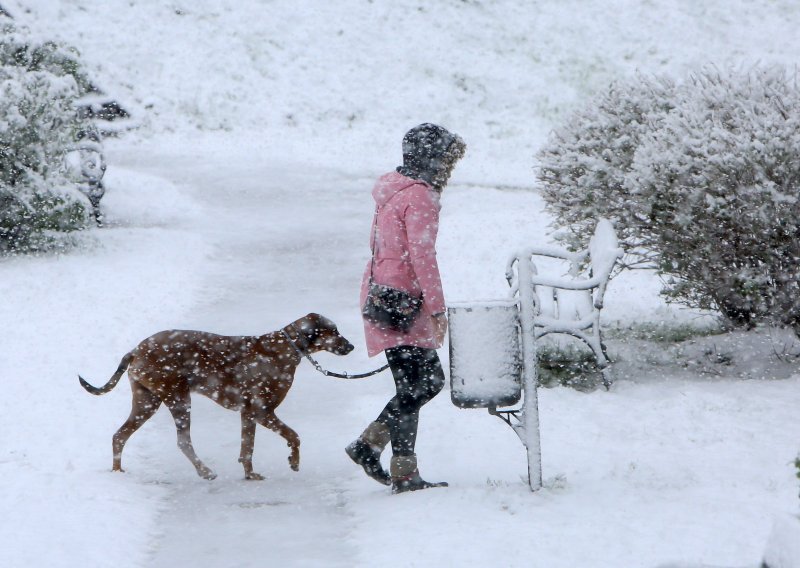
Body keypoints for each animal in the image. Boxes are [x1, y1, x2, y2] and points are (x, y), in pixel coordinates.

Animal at [80, 312, 354, 482]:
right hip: (179, 399)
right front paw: (294, 461)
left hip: (146, 402)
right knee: (183, 441)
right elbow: (294, 436)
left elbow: (247, 449)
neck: (287, 347)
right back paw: (205, 471)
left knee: (119, 436)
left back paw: (117, 472)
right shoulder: (263, 411)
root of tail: (136, 350)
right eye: (334, 331)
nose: (351, 346)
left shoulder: (248, 414)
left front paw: (249, 474)